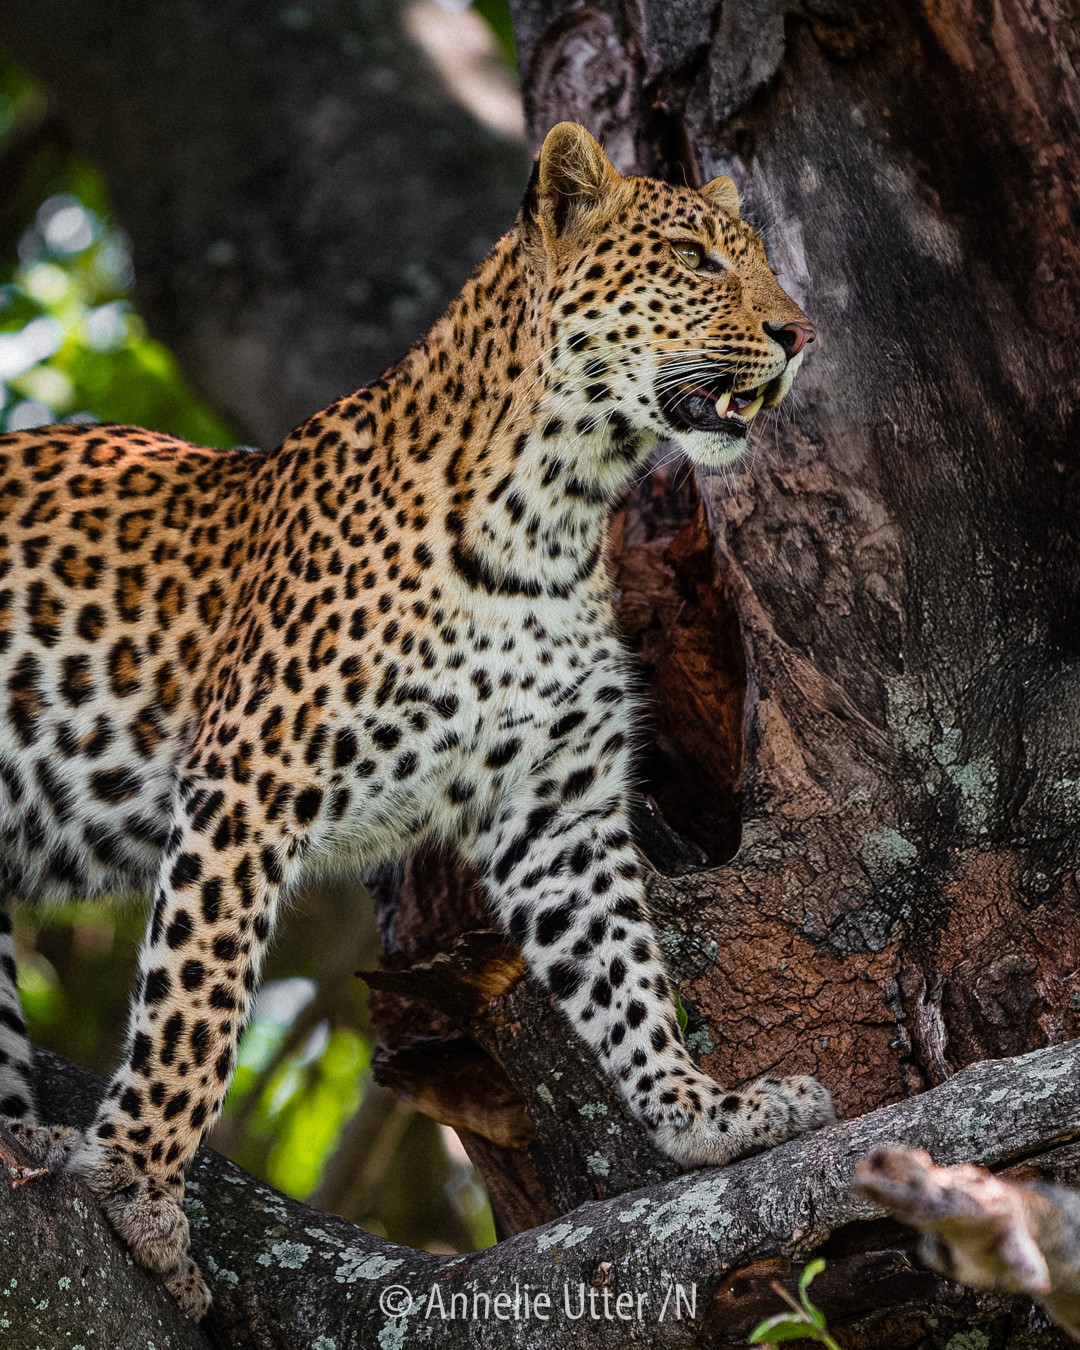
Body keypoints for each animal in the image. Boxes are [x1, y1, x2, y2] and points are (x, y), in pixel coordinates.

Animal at [0, 122, 831, 1318]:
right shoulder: (248, 781)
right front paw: (137, 1190)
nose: (799, 335)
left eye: (752, 257)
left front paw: (704, 1116)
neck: (557, 508)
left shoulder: (557, 811)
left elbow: (627, 977)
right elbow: (196, 1006)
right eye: (693, 257)